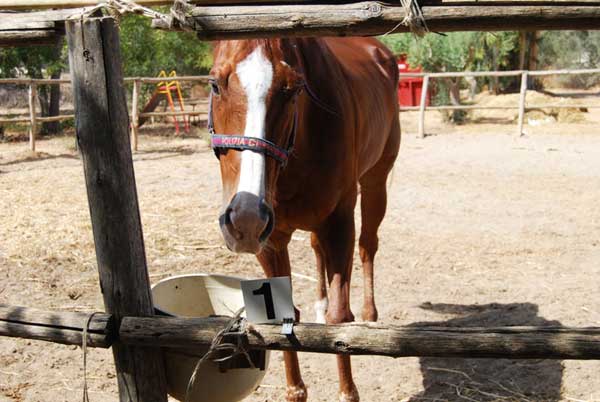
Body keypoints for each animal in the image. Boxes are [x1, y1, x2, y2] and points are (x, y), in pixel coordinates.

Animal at [209, 38, 400, 402]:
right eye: (214, 84)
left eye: (293, 88)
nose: (245, 219)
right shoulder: (271, 242)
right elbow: (282, 316)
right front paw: (296, 391)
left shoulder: (339, 223)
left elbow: (341, 319)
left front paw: (347, 392)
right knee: (315, 247)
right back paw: (320, 303)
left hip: (376, 182)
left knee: (368, 246)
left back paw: (370, 314)